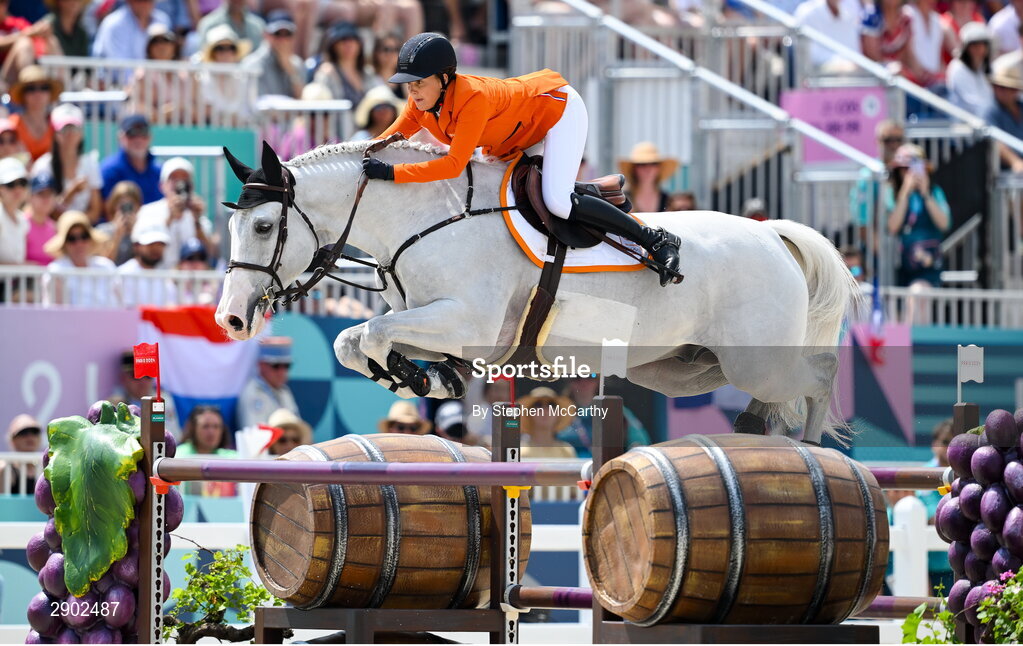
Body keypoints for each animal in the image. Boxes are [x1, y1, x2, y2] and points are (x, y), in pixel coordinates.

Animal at [215, 140, 859, 444]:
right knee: (769, 396)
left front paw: (411, 375)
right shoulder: (436, 323)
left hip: (754, 360)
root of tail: (771, 234)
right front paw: (421, 377)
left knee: (818, 374)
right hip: (685, 368)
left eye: (265, 227)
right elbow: (353, 342)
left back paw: (815, 450)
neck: (420, 218)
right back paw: (756, 433)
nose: (230, 321)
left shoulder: (468, 323)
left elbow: (365, 334)